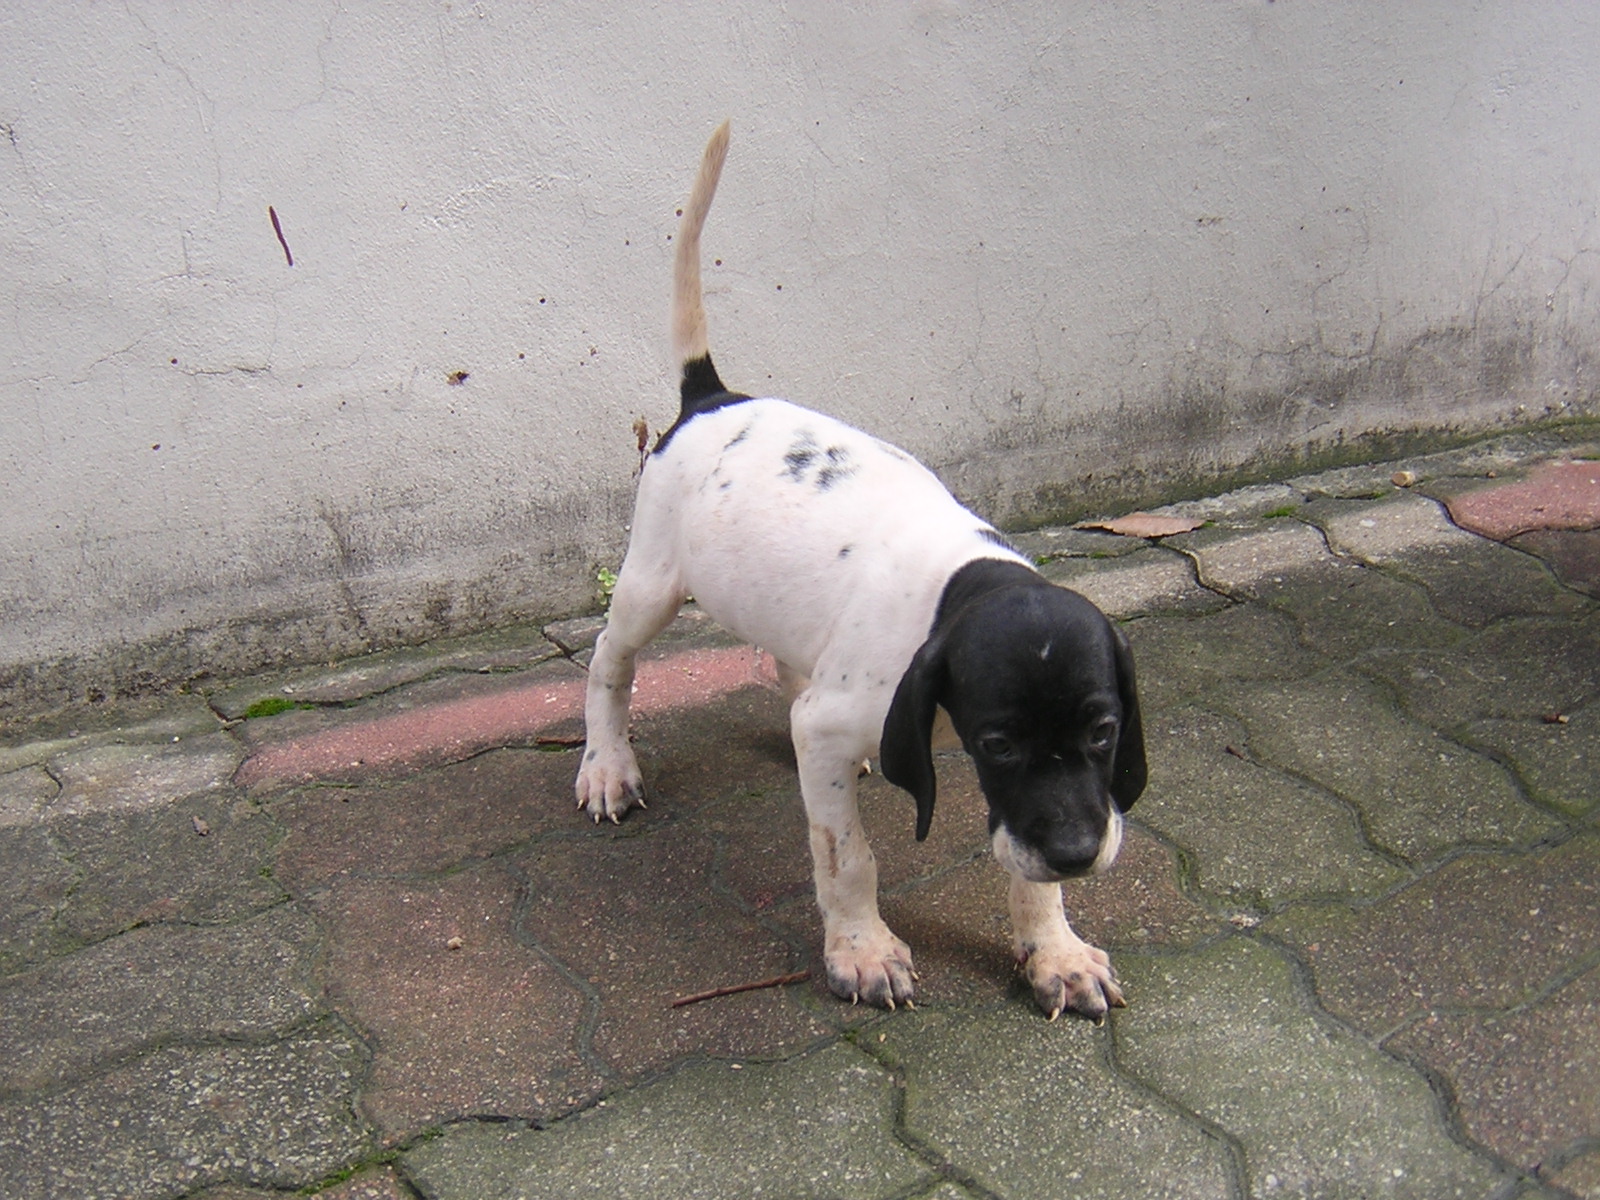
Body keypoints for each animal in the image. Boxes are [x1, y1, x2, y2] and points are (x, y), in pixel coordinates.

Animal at [576, 121, 1145, 1021]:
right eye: (997, 742)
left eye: (1102, 731)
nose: (1078, 852)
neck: (960, 584)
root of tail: (714, 398)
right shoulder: (837, 729)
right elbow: (848, 855)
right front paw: (862, 950)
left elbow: (1025, 872)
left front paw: (1053, 948)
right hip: (652, 583)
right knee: (609, 660)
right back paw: (606, 765)